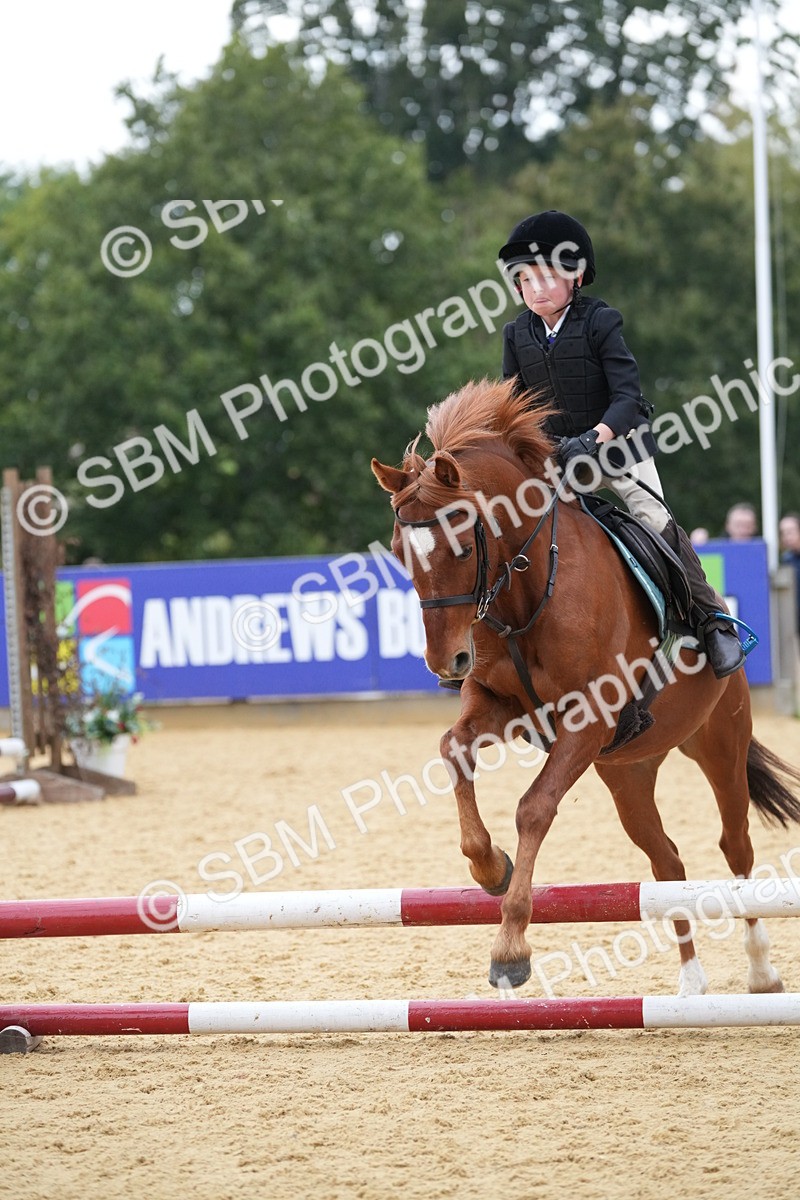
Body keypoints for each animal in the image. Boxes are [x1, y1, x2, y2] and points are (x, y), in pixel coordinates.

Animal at [371, 377, 800, 994]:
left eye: (464, 547)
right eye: (401, 554)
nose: (446, 661)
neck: (526, 590)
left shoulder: (588, 719)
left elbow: (533, 809)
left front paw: (510, 949)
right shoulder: (502, 706)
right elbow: (453, 750)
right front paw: (489, 866)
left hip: (720, 740)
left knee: (735, 845)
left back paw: (761, 970)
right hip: (627, 771)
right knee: (667, 862)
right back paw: (691, 983)